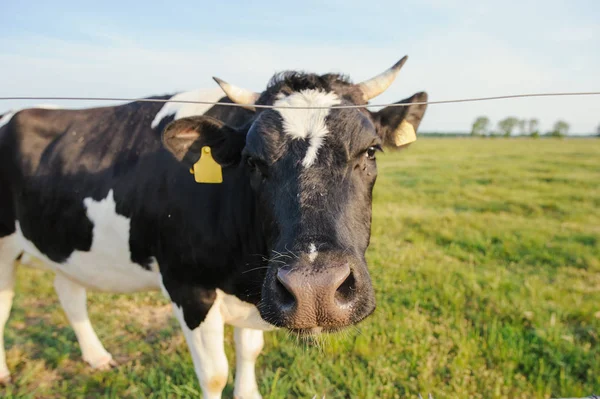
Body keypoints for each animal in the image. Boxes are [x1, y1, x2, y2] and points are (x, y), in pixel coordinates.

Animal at [2, 57, 428, 399]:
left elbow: (249, 351)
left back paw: (97, 357)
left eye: (370, 150)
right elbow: (214, 375)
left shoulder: (258, 292)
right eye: (252, 161)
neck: (244, 277)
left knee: (68, 291)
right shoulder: (188, 286)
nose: (315, 290)